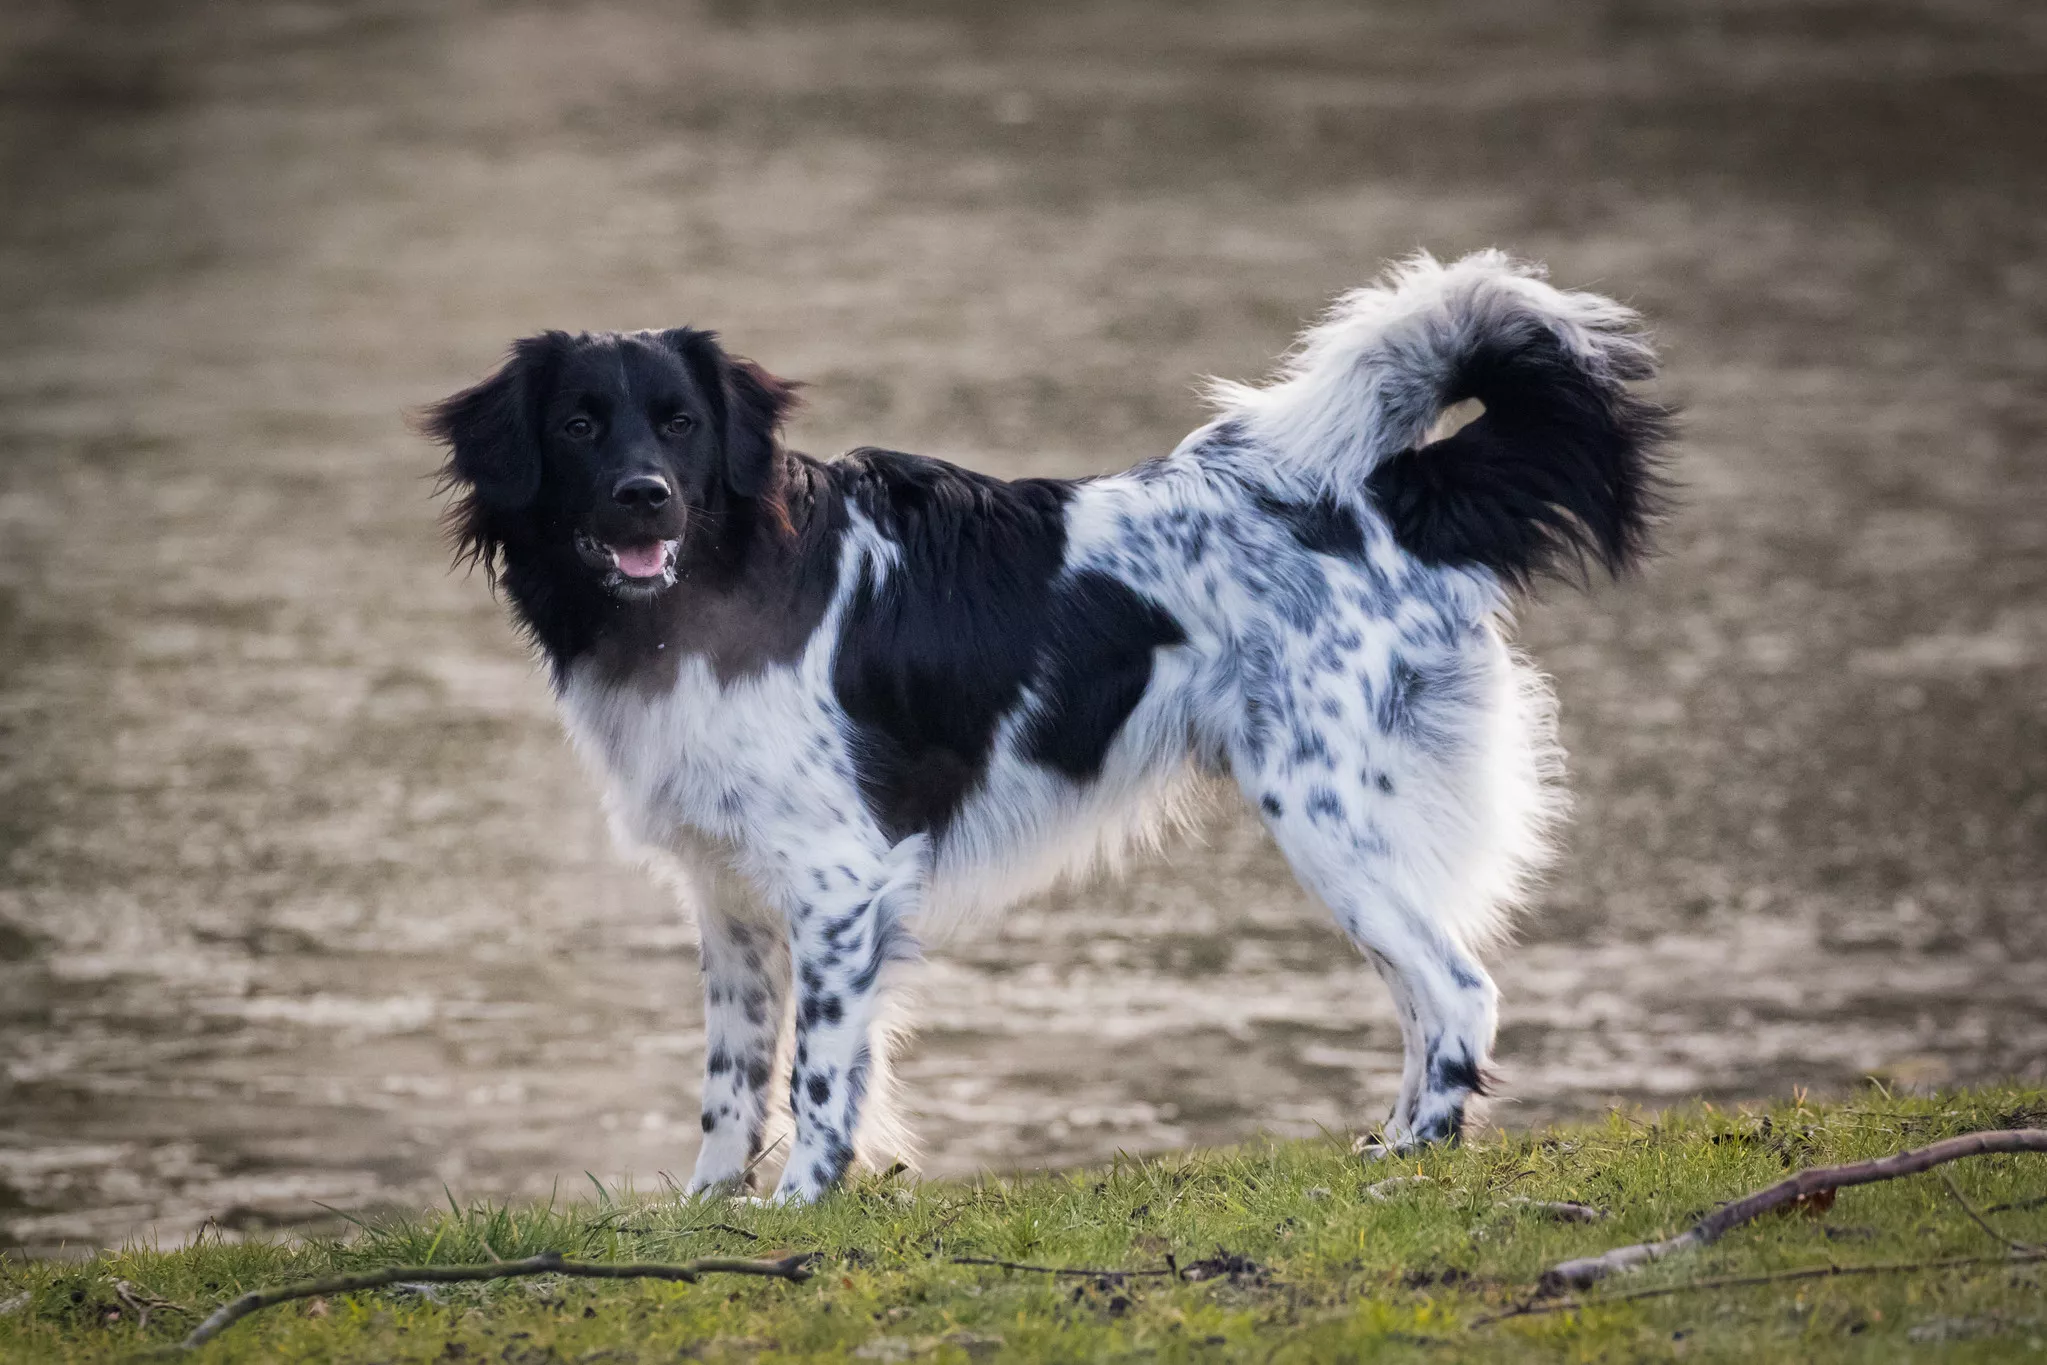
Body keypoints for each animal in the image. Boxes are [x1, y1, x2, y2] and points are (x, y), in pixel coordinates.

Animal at [427, 250, 1662, 1203]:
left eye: (680, 425)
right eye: (580, 424)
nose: (645, 494)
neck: (718, 585)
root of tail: (1384, 499)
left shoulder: (839, 880)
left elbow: (818, 1077)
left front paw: (798, 1208)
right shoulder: (725, 890)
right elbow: (730, 1080)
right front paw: (705, 1214)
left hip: (1327, 811)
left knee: (1456, 988)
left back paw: (1416, 1156)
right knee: (1419, 989)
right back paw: (1393, 1136)